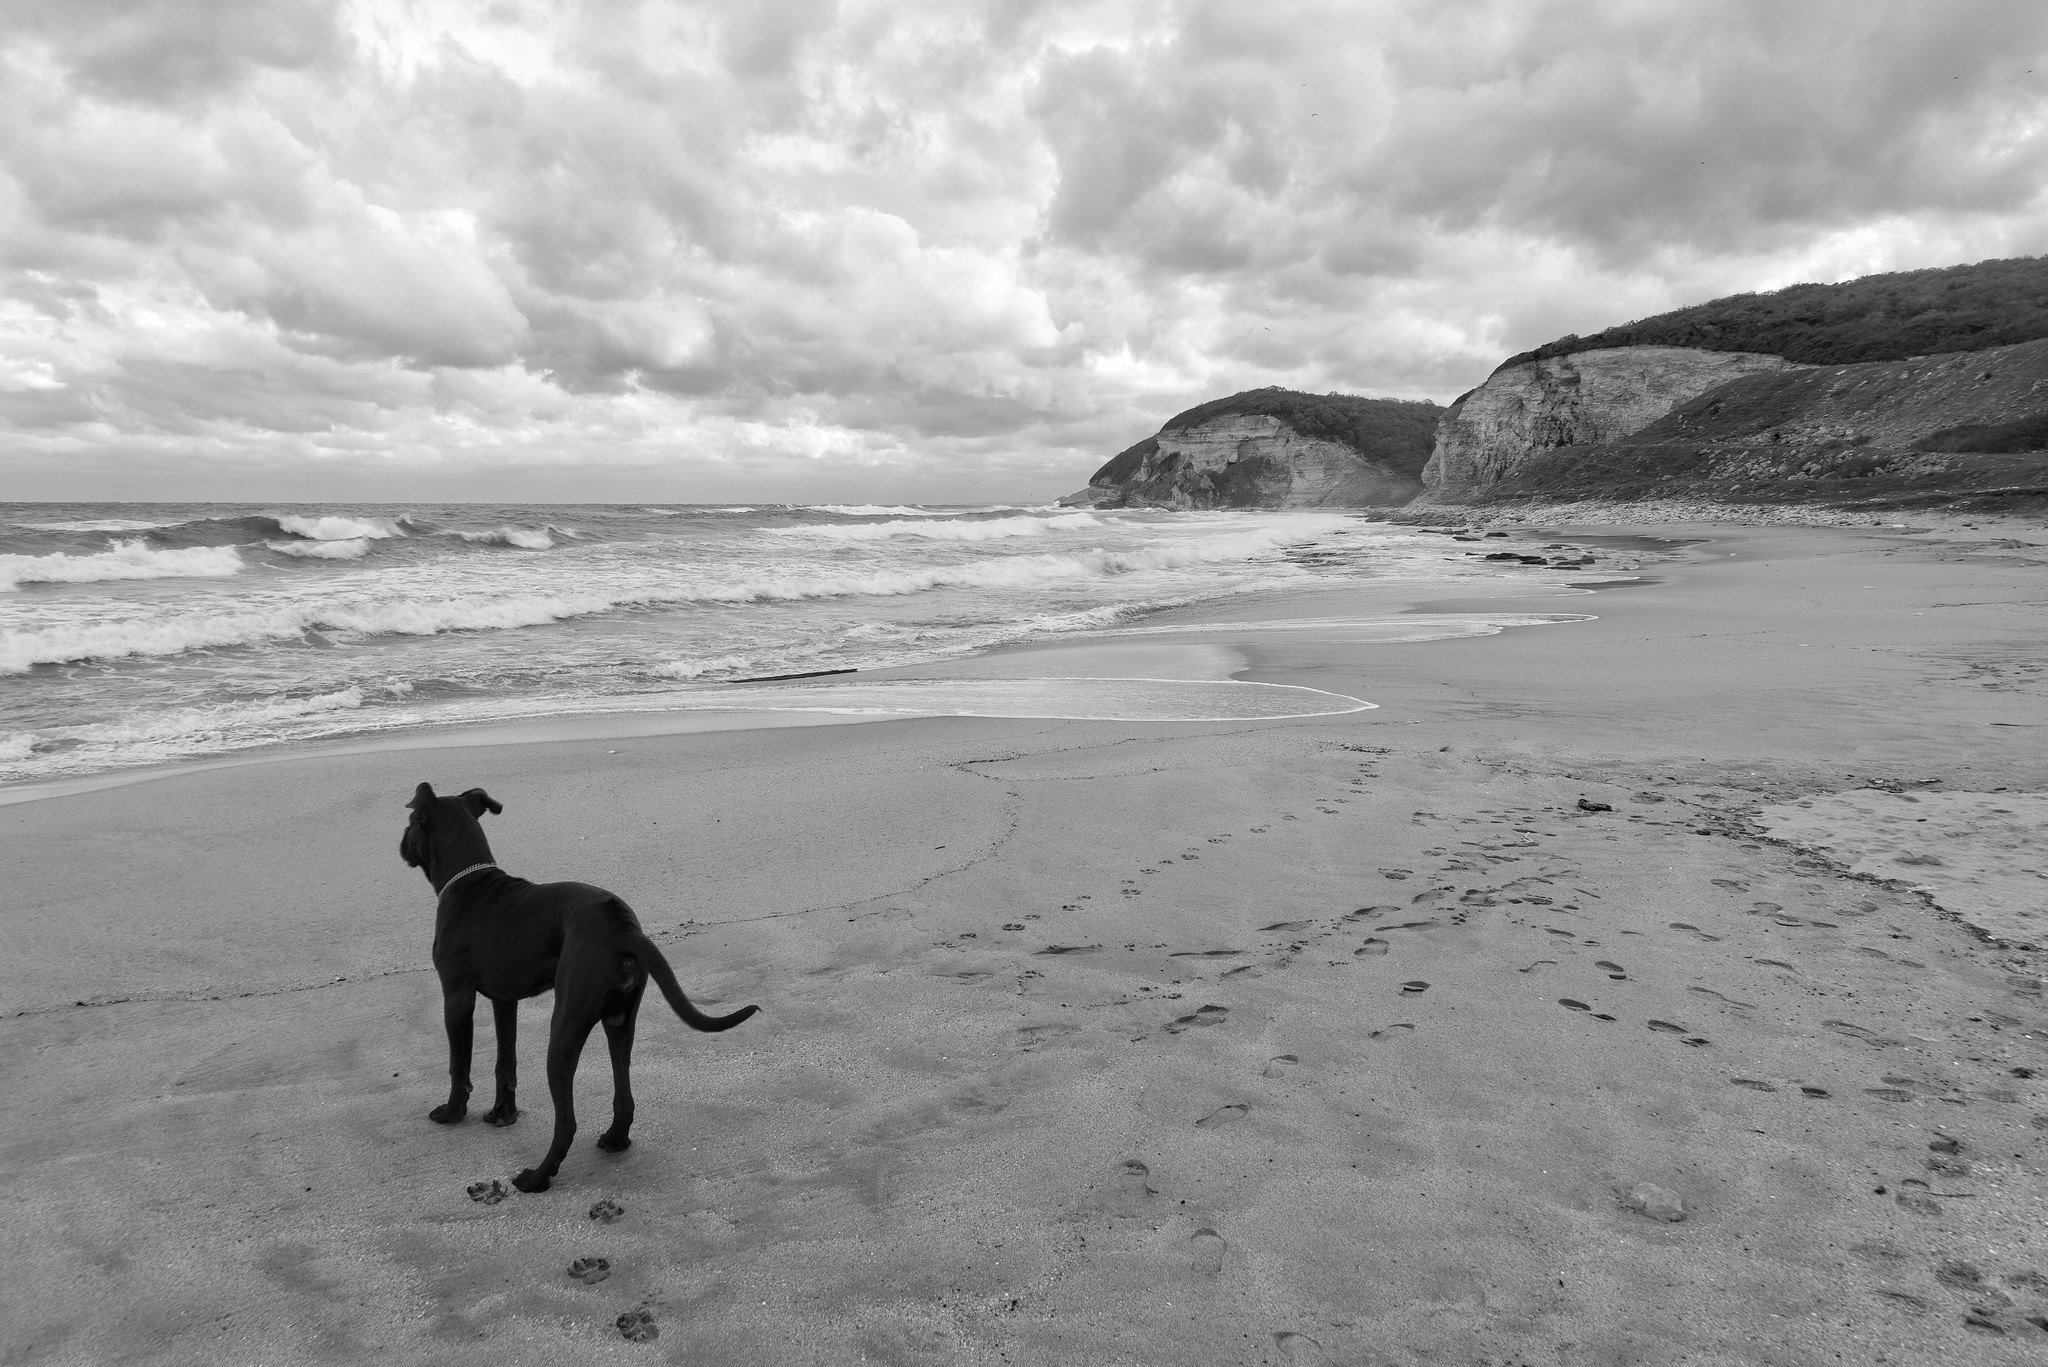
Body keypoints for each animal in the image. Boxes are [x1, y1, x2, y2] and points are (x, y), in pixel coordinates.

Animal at [395, 786, 757, 1188]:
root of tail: (622, 930)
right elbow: (506, 1062)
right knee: (624, 1097)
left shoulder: (457, 997)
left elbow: (458, 1064)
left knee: (566, 1123)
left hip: (565, 1027)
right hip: (619, 1021)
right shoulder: (505, 1001)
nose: (401, 842)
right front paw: (503, 1113)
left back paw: (536, 1178)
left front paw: (452, 1112)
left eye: (411, 822)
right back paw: (615, 1140)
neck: (467, 882)